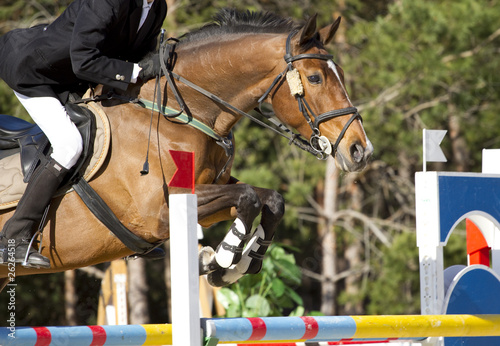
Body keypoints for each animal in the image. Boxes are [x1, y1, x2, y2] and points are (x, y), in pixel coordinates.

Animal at [0, 8, 372, 290]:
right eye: (315, 78)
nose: (361, 151)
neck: (180, 115)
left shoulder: (205, 192)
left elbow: (269, 199)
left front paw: (236, 264)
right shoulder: (156, 215)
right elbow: (249, 197)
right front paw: (221, 259)